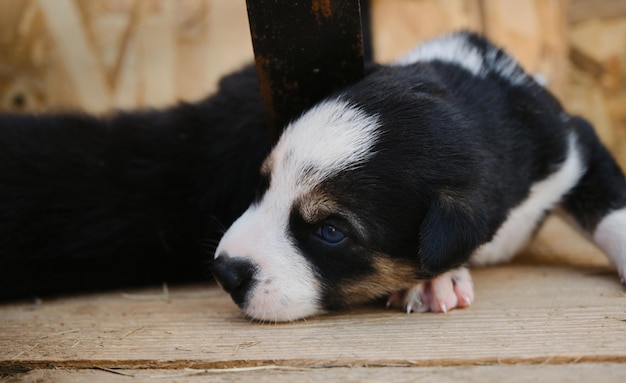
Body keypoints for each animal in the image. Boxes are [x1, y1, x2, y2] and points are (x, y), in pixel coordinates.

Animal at [212, 30, 624, 324]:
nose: (225, 271)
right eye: (264, 185)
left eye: (331, 231)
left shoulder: (572, 145)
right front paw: (434, 282)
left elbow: (612, 213)